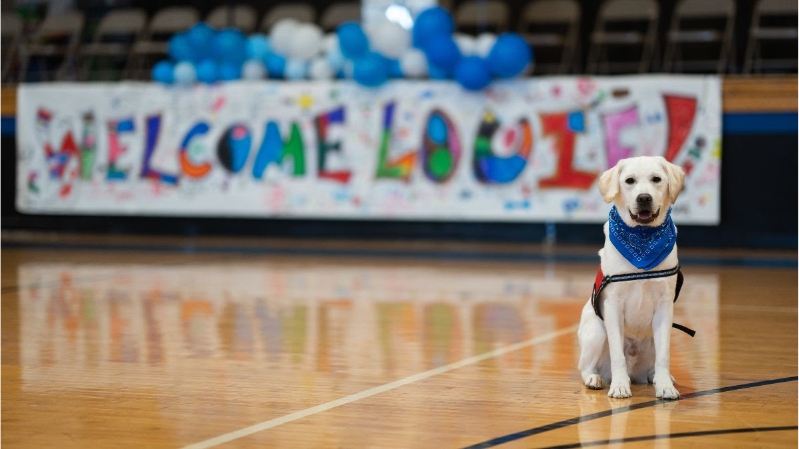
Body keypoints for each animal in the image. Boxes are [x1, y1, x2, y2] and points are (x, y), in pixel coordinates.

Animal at [580, 157, 688, 400]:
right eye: (629, 181)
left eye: (656, 179)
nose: (644, 198)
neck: (641, 240)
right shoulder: (613, 306)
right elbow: (617, 355)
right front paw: (620, 386)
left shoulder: (664, 305)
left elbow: (664, 355)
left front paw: (665, 386)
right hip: (596, 331)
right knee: (585, 366)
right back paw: (594, 378)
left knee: (653, 365)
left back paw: (659, 378)